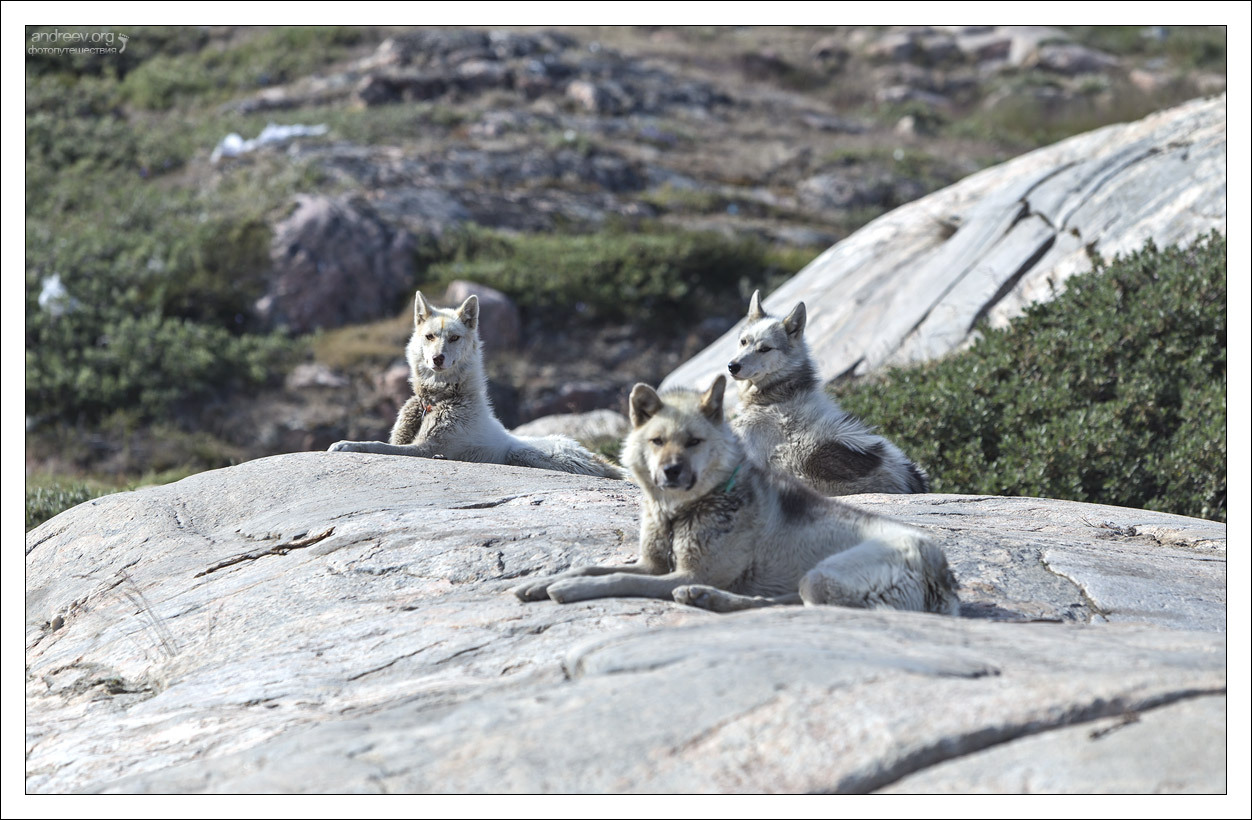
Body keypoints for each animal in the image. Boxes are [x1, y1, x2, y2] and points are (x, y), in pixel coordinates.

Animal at [330, 291, 631, 480]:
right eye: (429, 336)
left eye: (454, 338)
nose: (438, 359)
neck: (436, 401)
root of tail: (597, 459)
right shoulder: (410, 441)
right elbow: (385, 443)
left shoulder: (425, 448)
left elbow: (375, 445)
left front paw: (346, 444)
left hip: (523, 453)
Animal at [508, 375, 956, 613]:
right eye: (657, 441)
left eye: (694, 442)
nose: (671, 472)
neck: (678, 513)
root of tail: (941, 571)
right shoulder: (653, 564)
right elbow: (594, 567)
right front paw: (547, 581)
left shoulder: (684, 571)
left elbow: (616, 578)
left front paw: (569, 590)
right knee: (775, 601)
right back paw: (707, 599)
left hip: (822, 577)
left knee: (782, 605)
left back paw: (707, 597)